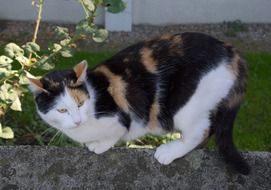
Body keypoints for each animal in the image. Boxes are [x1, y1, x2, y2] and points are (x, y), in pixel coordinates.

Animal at [29, 31, 251, 174]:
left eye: (81, 104)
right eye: (62, 110)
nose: (77, 121)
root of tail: (230, 50)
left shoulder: (120, 119)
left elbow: (115, 134)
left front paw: (99, 146)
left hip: (186, 104)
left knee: (202, 130)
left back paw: (169, 151)